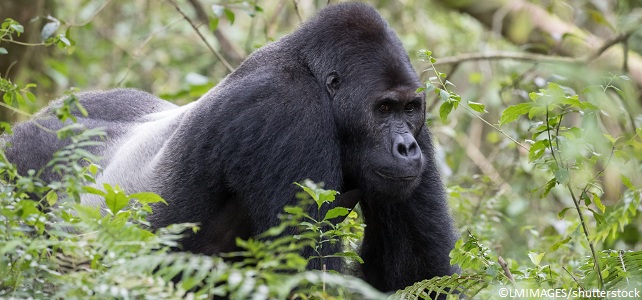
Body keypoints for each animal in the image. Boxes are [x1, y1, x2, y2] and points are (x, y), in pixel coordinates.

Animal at [5, 2, 458, 292]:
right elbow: (306, 277)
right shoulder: (287, 112)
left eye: (408, 109)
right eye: (382, 109)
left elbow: (415, 274)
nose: (406, 147)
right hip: (22, 170)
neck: (311, 71)